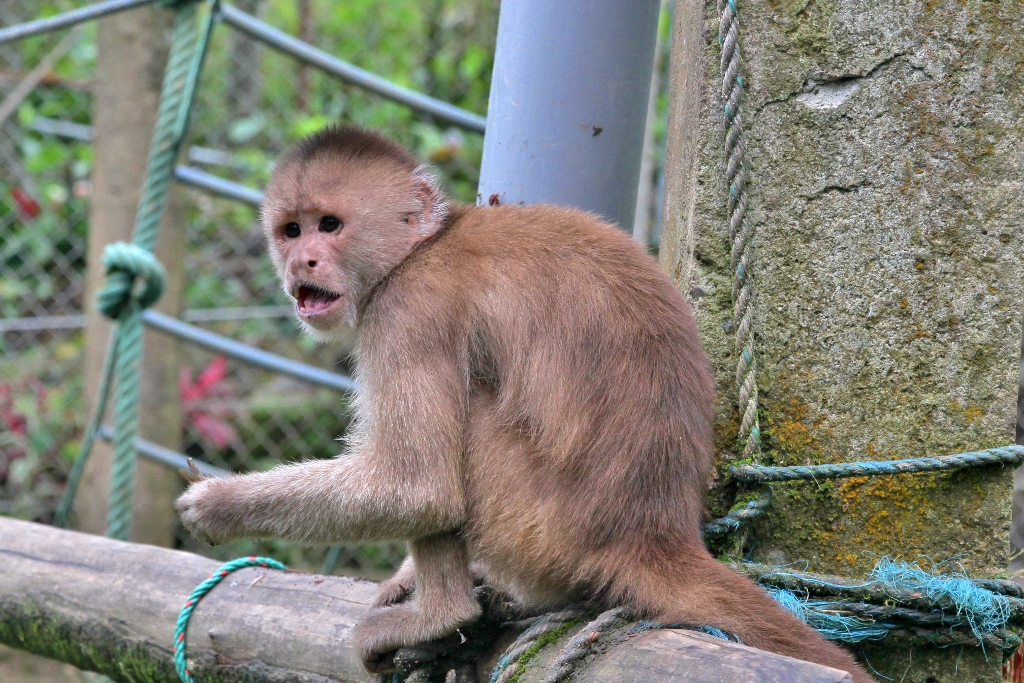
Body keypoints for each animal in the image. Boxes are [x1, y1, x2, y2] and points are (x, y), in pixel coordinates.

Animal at [178, 125, 872, 679]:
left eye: (329, 226)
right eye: (290, 230)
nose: (303, 260)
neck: (425, 245)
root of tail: (655, 532)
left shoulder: (408, 308)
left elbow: (416, 489)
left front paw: (220, 504)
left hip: (538, 530)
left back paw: (444, 613)